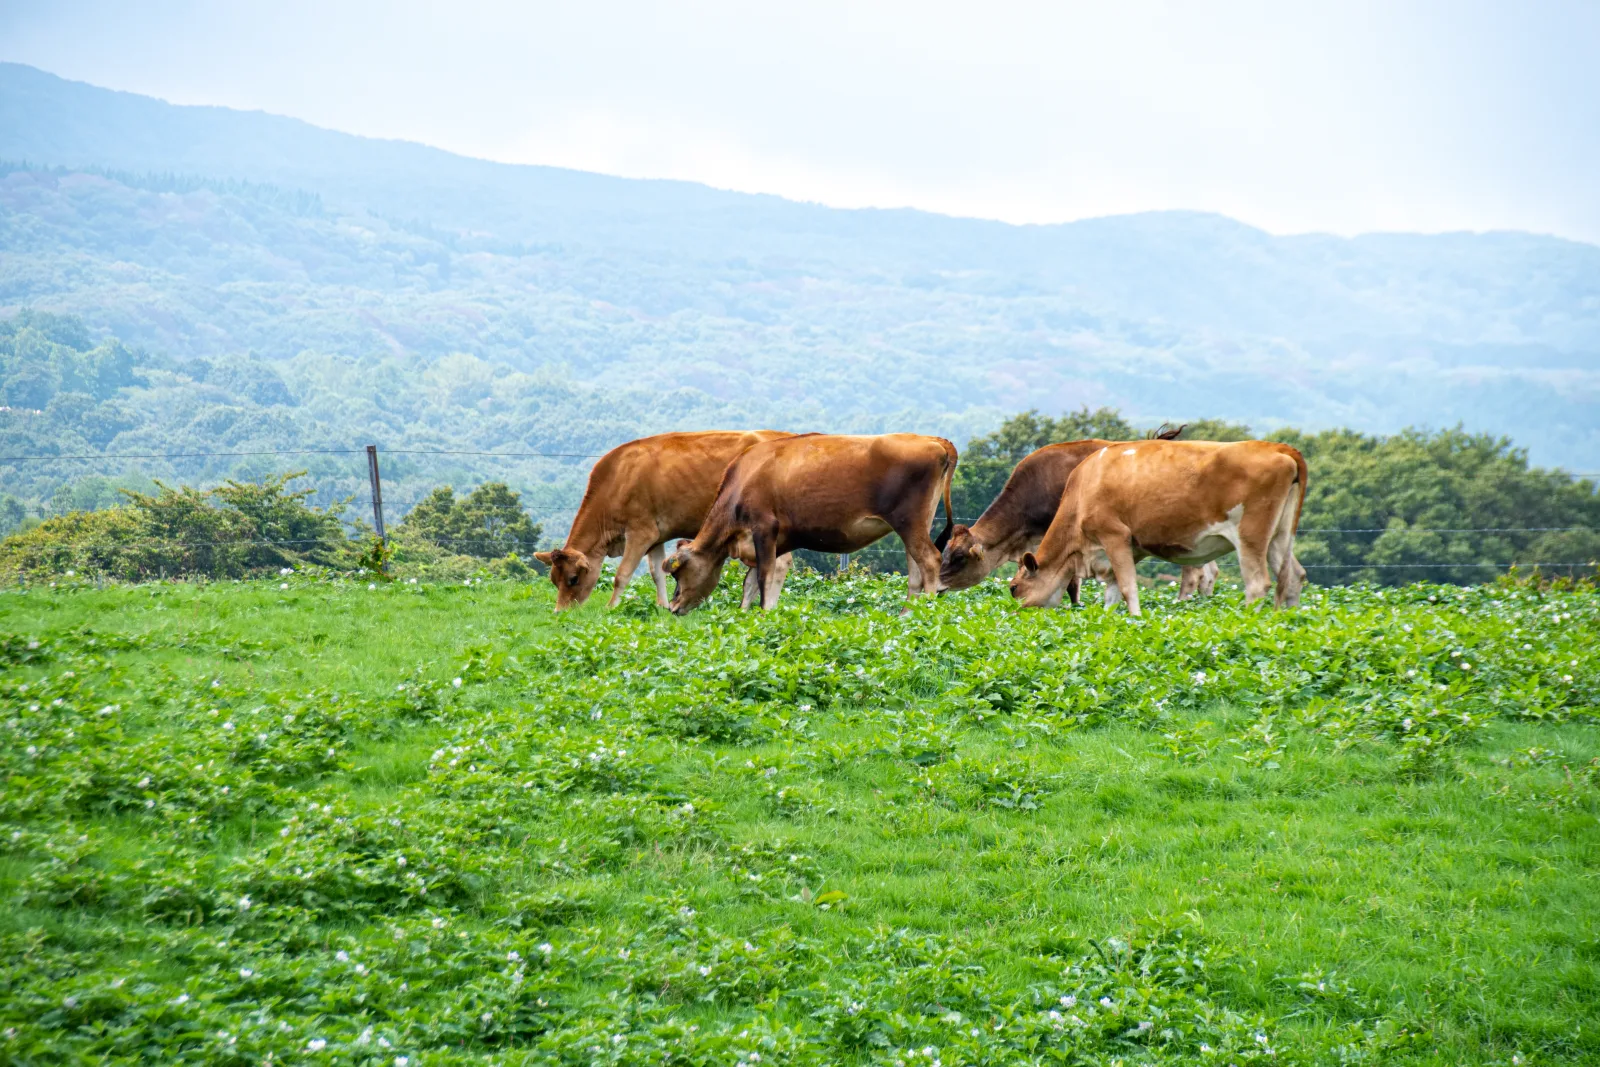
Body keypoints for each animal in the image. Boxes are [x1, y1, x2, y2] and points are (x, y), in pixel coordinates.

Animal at [532, 430, 794, 610]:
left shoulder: (640, 531)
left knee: (779, 564)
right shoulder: (657, 536)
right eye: (553, 580)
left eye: (573, 578)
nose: (560, 612)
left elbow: (622, 575)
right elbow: (657, 572)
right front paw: (663, 606)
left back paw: (768, 608)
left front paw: (611, 607)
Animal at [665, 433, 958, 614]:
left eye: (678, 574)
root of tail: (933, 440)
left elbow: (763, 577)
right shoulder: (774, 542)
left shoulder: (764, 528)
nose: (673, 607)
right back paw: (905, 617)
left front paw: (761, 614)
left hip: (909, 521)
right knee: (916, 573)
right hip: (918, 523)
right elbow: (753, 584)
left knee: (930, 561)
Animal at [1010, 439, 1307, 615]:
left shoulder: (1114, 535)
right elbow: (1112, 593)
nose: (1015, 615)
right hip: (1280, 535)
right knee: (1294, 575)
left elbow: (1128, 588)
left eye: (1014, 588)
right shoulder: (1124, 549)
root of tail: (1277, 447)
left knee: (1257, 584)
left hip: (1250, 535)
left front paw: (1136, 620)